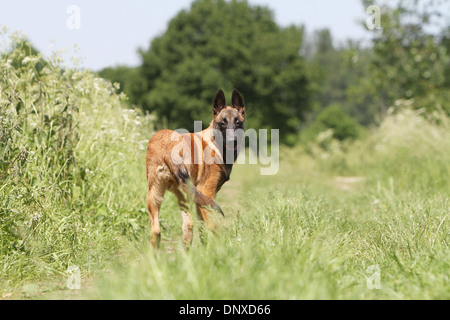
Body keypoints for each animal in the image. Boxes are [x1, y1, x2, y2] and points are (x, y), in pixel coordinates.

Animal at [146, 89, 246, 249]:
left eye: (237, 122)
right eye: (222, 123)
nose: (233, 141)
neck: (214, 142)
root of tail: (167, 147)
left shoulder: (199, 199)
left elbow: (201, 230)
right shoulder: (207, 192)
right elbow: (208, 228)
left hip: (159, 195)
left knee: (162, 231)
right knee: (211, 229)